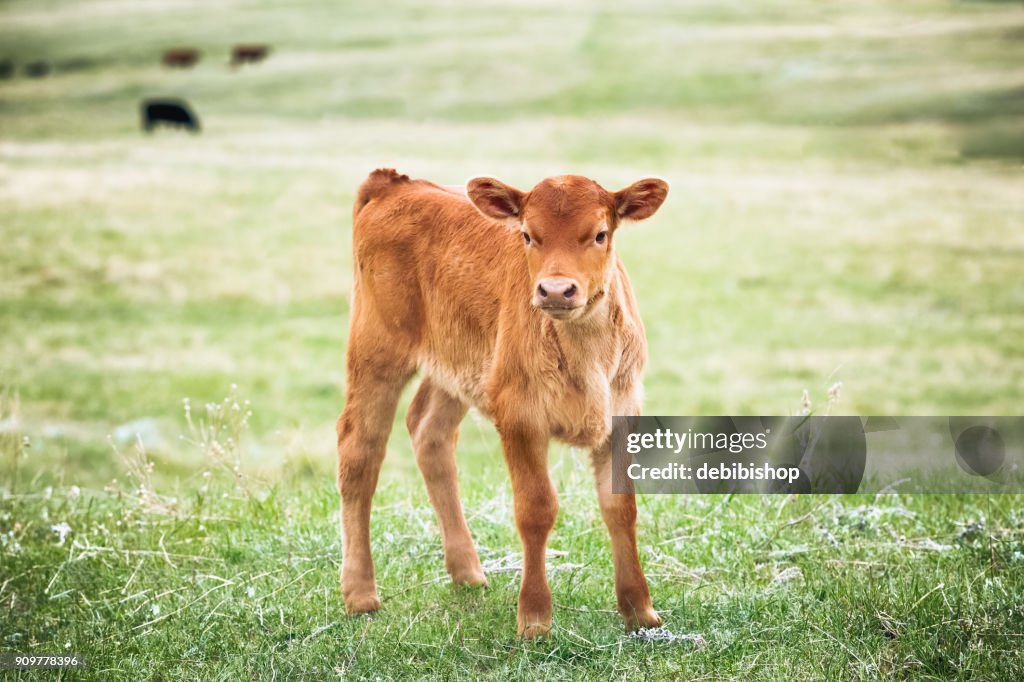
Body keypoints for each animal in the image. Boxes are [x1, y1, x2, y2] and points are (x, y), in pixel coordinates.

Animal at [337, 166, 671, 634]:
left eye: (600, 234)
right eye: (528, 235)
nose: (555, 290)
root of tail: (396, 184)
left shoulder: (622, 415)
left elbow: (620, 506)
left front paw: (640, 611)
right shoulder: (518, 416)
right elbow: (536, 509)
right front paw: (534, 618)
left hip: (459, 368)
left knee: (428, 431)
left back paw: (468, 572)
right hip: (376, 352)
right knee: (359, 451)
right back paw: (360, 594)